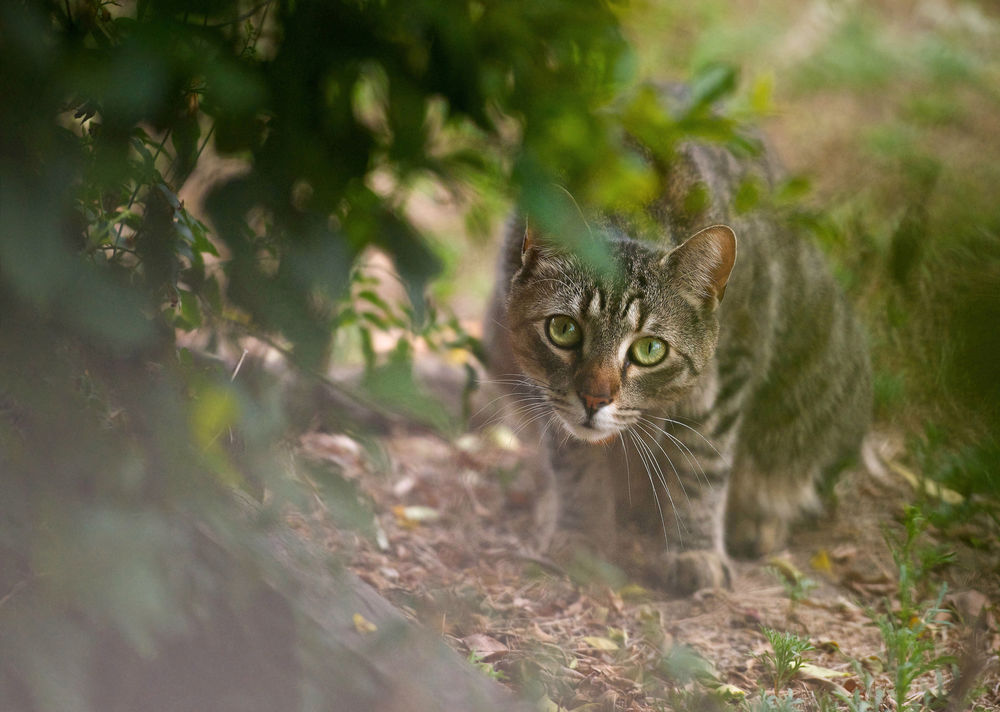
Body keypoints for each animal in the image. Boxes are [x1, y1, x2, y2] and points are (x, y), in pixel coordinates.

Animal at [482, 103, 868, 592]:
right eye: (563, 330)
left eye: (649, 350)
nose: (594, 398)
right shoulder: (540, 384)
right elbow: (573, 459)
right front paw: (581, 530)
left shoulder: (731, 370)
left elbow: (702, 464)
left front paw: (695, 550)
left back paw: (758, 521)